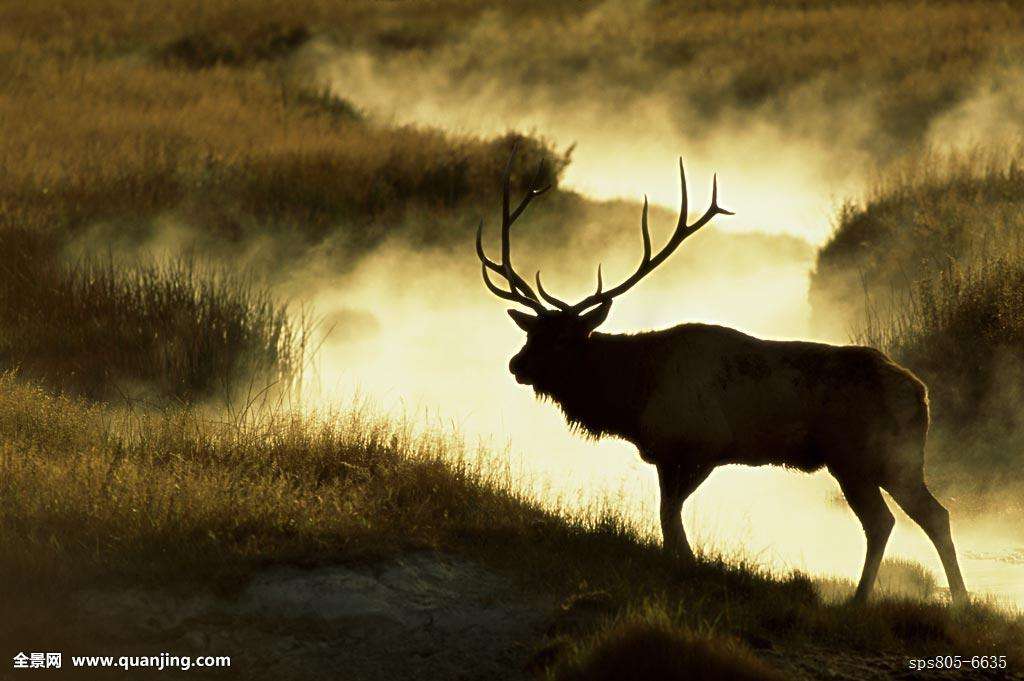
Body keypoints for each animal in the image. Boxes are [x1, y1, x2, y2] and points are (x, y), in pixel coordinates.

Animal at [479, 148, 966, 602]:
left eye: (563, 339)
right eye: (532, 332)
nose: (516, 365)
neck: (634, 397)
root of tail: (922, 394)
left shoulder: (703, 444)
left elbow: (670, 515)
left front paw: (687, 564)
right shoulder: (665, 454)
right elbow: (666, 513)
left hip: (858, 455)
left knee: (885, 521)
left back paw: (863, 599)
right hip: (894, 459)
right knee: (932, 514)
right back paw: (956, 600)